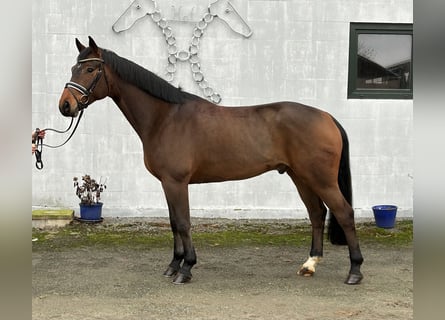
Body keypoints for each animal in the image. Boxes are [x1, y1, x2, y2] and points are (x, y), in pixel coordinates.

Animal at [57, 37, 362, 284]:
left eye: (90, 70)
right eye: (73, 68)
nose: (65, 106)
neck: (165, 118)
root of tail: (327, 116)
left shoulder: (177, 182)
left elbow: (183, 222)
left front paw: (186, 269)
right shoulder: (167, 183)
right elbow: (173, 222)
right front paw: (173, 265)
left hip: (320, 179)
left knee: (344, 213)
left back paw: (355, 271)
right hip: (300, 177)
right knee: (316, 214)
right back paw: (310, 265)